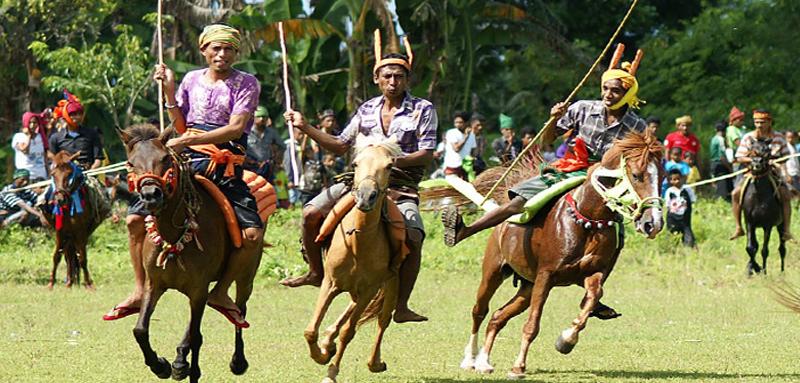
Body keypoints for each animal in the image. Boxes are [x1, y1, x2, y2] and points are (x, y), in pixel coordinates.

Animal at [45, 152, 109, 290]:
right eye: (53, 174)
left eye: (69, 174)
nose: (60, 199)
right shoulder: (60, 231)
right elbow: (56, 256)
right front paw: (51, 283)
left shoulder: (80, 232)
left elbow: (83, 258)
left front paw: (89, 284)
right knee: (69, 256)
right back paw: (69, 282)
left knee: (75, 255)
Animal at [119, 125, 262, 380]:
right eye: (130, 163)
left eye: (165, 159)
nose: (151, 194)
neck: (173, 236)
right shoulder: (155, 284)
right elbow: (140, 330)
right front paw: (160, 365)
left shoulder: (198, 289)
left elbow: (197, 338)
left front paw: (189, 370)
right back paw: (178, 362)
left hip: (246, 274)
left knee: (240, 310)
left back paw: (237, 360)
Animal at [304, 135, 410, 383]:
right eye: (355, 163)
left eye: (389, 165)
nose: (366, 196)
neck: (357, 243)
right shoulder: (330, 283)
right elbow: (311, 330)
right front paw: (321, 354)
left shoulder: (371, 288)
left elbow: (348, 332)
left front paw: (331, 371)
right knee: (352, 306)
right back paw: (328, 340)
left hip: (390, 285)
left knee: (383, 320)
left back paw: (375, 362)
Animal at [460, 132, 664, 378]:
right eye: (636, 175)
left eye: (662, 177)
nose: (653, 223)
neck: (588, 221)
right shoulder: (546, 275)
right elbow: (532, 325)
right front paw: (518, 366)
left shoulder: (590, 273)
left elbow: (592, 297)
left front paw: (567, 340)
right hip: (494, 270)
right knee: (479, 311)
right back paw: (470, 359)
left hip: (527, 287)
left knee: (498, 316)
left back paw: (484, 361)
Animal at [736, 140, 788, 274]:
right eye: (751, 149)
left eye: (768, 151)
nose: (757, 162)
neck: (758, 196)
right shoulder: (750, 223)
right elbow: (750, 247)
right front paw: (752, 268)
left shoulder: (767, 225)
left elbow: (764, 250)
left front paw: (763, 271)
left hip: (781, 225)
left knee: (782, 248)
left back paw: (782, 271)